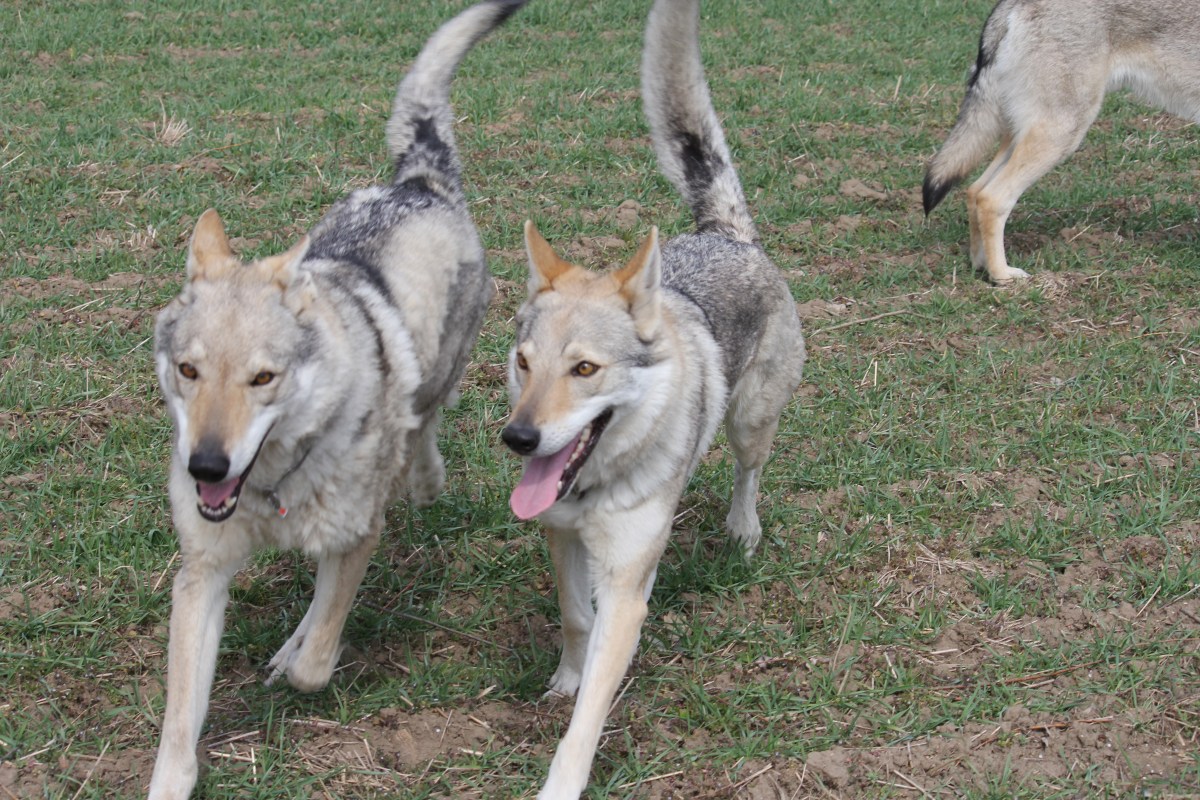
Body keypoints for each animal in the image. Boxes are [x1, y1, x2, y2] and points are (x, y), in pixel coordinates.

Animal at [147, 3, 523, 796]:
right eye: (189, 372)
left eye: (262, 379)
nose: (205, 467)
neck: (272, 489)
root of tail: (419, 180)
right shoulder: (202, 574)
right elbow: (178, 729)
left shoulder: (357, 534)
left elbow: (319, 658)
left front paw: (299, 658)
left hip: (431, 392)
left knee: (422, 433)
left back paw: (423, 475)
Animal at [496, 1, 806, 796]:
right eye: (523, 364)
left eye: (585, 369)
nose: (518, 439)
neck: (597, 485)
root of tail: (724, 234)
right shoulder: (561, 539)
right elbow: (576, 623)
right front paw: (566, 680)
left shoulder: (624, 590)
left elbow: (587, 723)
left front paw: (561, 783)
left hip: (752, 423)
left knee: (748, 473)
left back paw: (742, 530)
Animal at [921, 0, 1195, 284]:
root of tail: (1012, 3)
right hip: (1060, 133)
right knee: (991, 198)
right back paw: (1002, 276)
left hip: (1027, 133)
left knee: (974, 190)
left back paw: (981, 265)